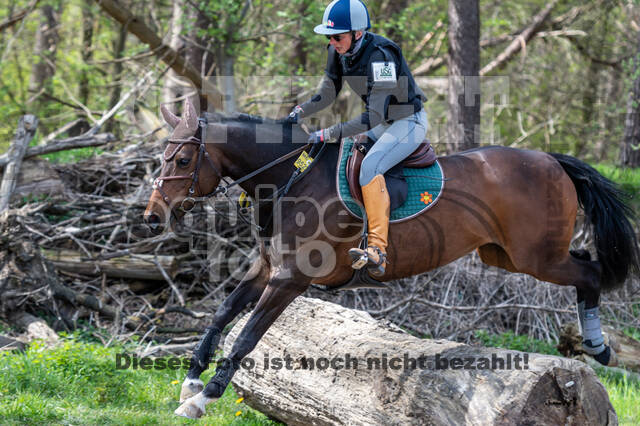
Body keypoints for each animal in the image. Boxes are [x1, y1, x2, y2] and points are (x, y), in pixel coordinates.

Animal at [145, 99, 640, 420]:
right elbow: (222, 313)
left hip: (537, 256)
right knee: (583, 267)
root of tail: (551, 160)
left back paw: (599, 347)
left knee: (590, 271)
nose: (152, 218)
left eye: (183, 159)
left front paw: (203, 398)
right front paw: (191, 381)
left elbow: (247, 336)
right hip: (507, 257)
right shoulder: (266, 268)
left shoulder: (290, 278)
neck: (292, 176)